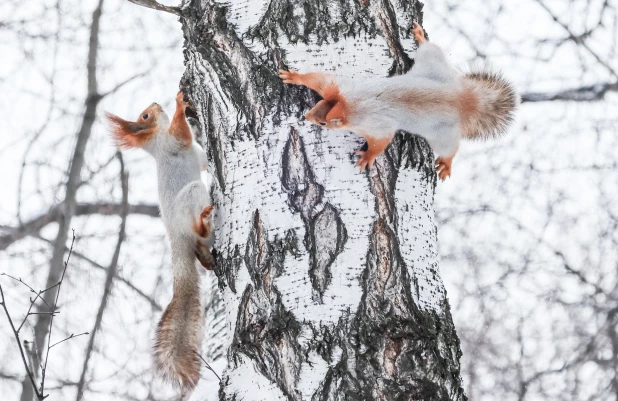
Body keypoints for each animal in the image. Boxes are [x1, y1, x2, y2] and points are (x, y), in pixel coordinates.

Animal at [104, 91, 213, 396]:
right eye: (144, 116)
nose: (154, 104)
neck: (155, 139)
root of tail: (177, 240)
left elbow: (203, 161)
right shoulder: (173, 141)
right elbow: (181, 131)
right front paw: (179, 103)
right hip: (192, 195)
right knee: (197, 227)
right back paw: (204, 219)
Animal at [280, 21, 516, 178]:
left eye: (323, 123)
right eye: (318, 104)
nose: (306, 117)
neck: (350, 105)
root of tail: (462, 98)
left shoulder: (373, 124)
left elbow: (381, 141)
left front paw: (367, 157)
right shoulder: (341, 88)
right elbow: (319, 79)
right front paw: (294, 77)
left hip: (441, 135)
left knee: (450, 149)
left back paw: (447, 164)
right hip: (433, 65)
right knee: (430, 49)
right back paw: (420, 37)